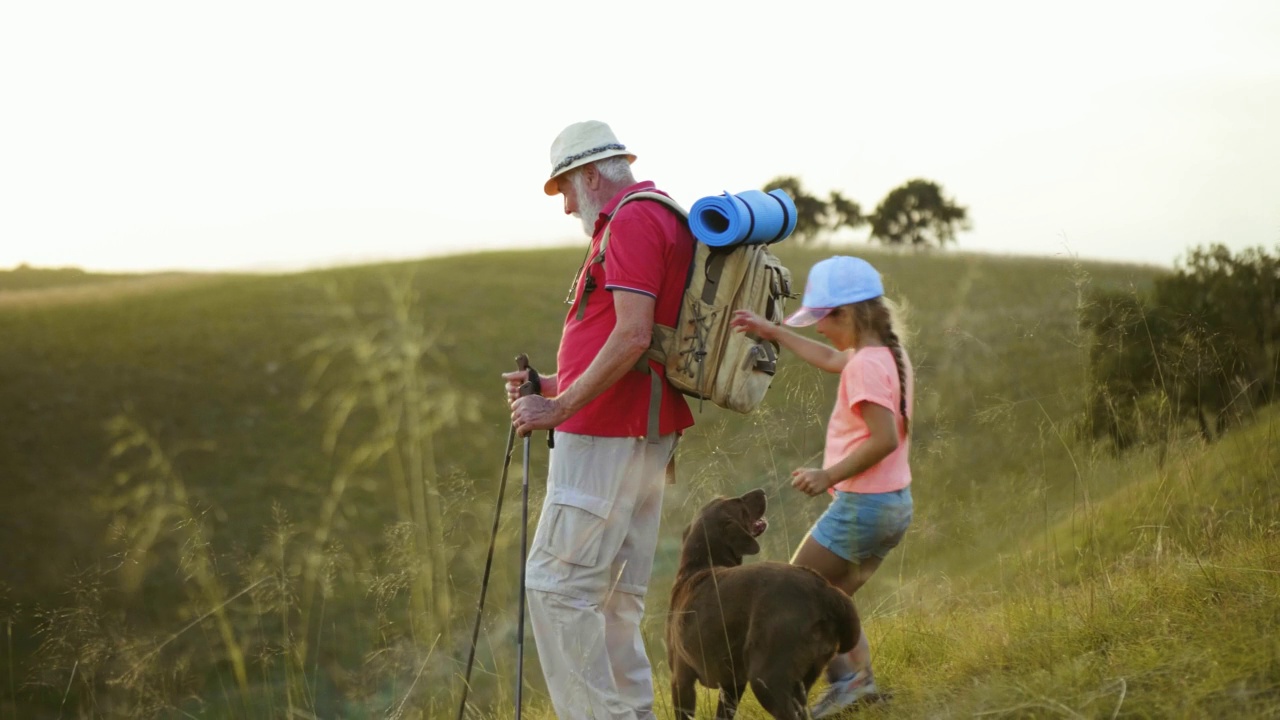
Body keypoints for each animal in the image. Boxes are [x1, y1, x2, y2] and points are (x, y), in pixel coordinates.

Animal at [665, 484, 855, 712]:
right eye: (739, 503)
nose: (761, 491)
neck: (699, 565)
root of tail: (823, 589)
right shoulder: (730, 684)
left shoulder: (681, 680)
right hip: (801, 679)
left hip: (765, 679)